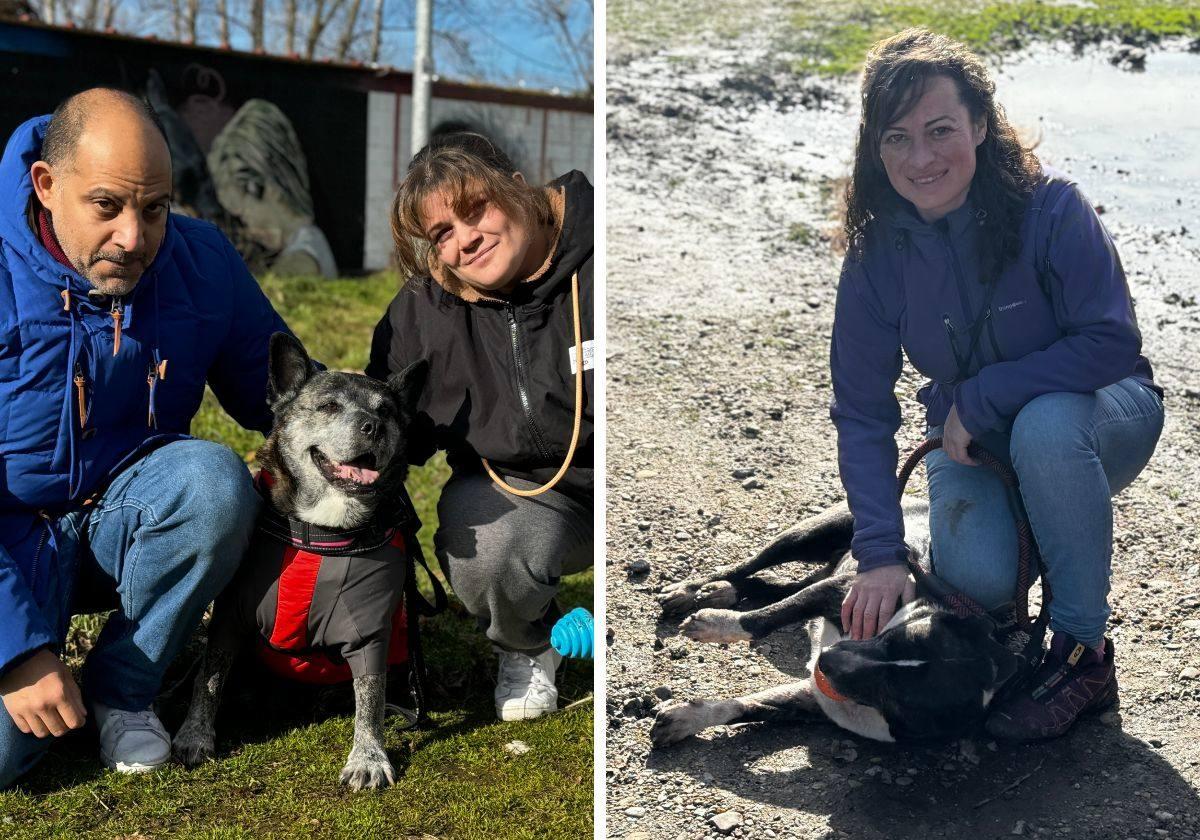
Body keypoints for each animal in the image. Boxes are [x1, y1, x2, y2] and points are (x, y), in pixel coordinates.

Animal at [648, 494, 1022, 744]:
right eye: (890, 638)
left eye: (895, 694)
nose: (824, 661)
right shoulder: (841, 591)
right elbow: (767, 617)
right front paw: (713, 625)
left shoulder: (812, 700)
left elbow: (751, 704)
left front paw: (687, 718)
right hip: (810, 535)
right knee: (750, 567)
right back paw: (691, 590)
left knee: (776, 584)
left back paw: (718, 593)